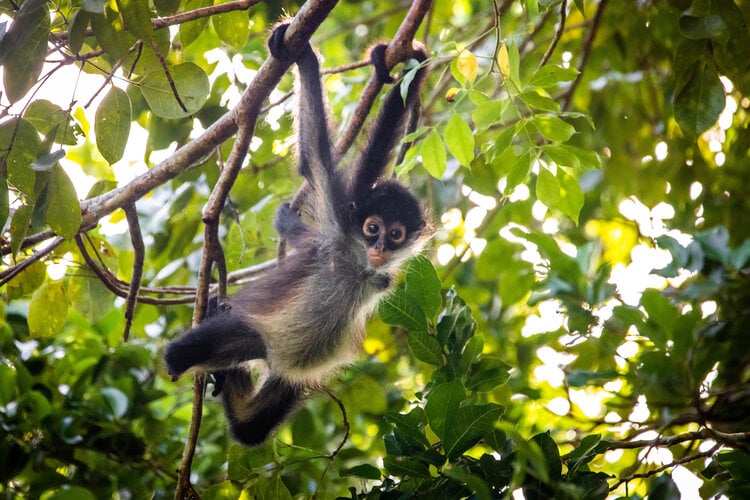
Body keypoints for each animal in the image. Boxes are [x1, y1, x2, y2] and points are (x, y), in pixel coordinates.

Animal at [167, 23, 432, 446]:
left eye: (395, 235)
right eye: (372, 229)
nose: (378, 247)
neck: (359, 266)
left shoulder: (377, 269)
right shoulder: (340, 225)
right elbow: (314, 159)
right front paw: (305, 58)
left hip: (282, 373)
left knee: (251, 429)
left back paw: (231, 380)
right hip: (252, 333)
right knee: (176, 357)